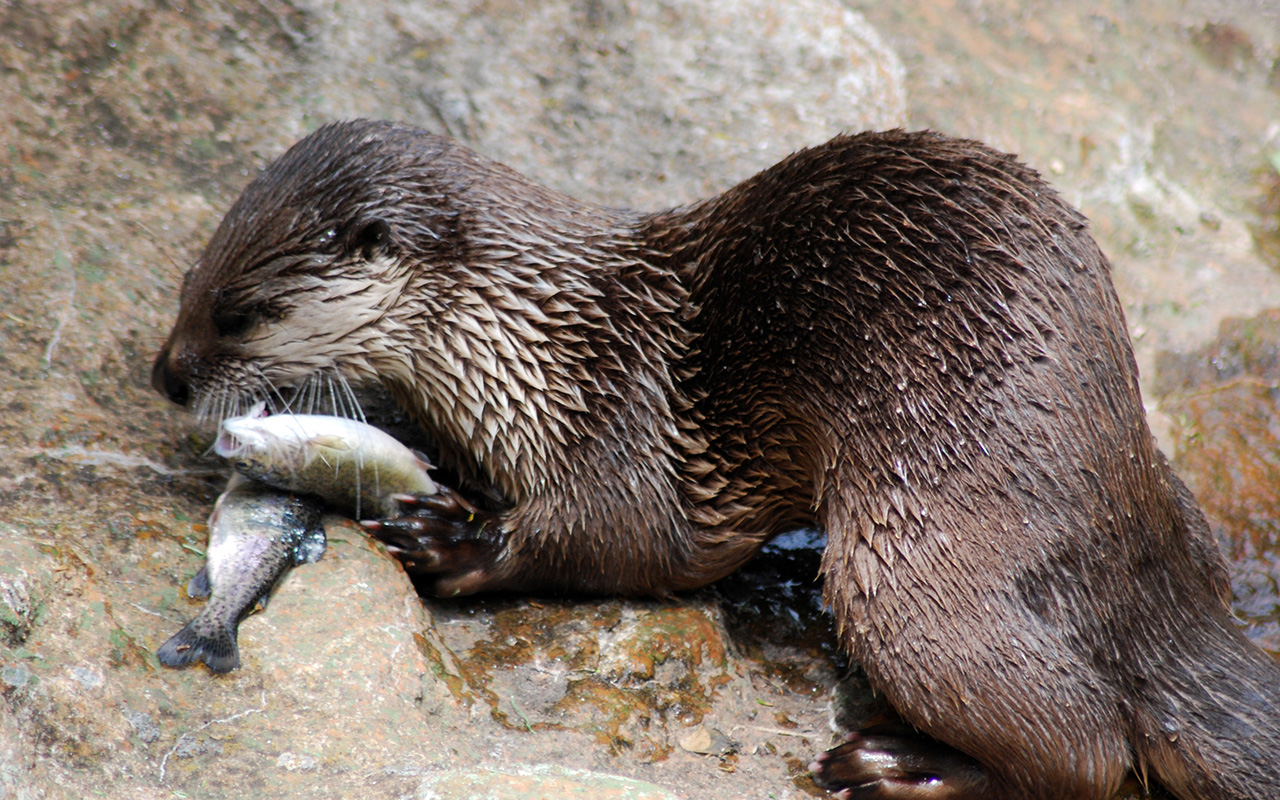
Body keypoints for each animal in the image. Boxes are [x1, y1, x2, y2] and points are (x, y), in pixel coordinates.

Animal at [152, 118, 1280, 798]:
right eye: (190, 277)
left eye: (239, 311)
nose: (165, 374)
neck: (521, 343)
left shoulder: (615, 421)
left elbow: (619, 539)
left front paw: (454, 541)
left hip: (914, 546)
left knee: (1090, 751)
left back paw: (899, 764)